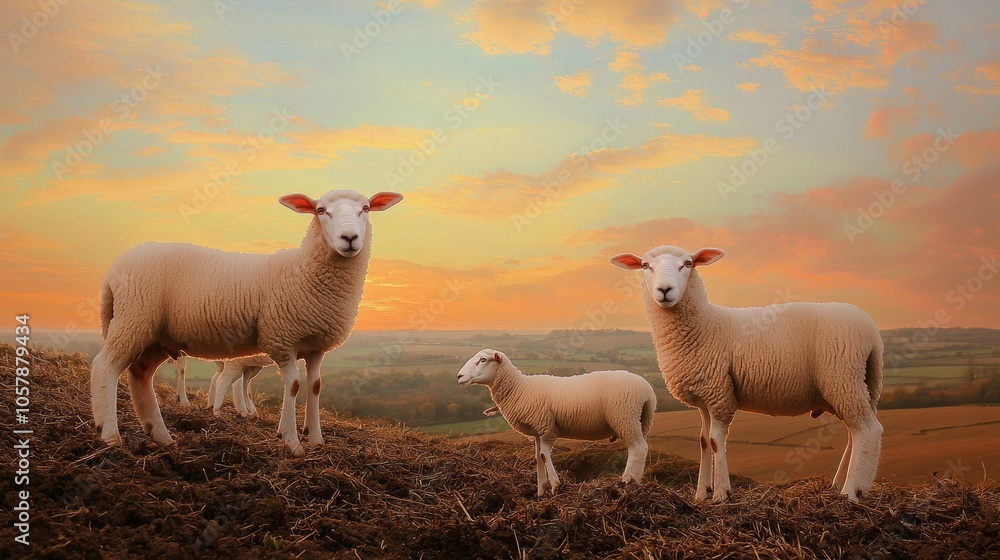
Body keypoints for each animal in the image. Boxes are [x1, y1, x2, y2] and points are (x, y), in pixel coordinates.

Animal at [90, 189, 403, 457]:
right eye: (321, 210)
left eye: (366, 209)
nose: (349, 237)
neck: (302, 270)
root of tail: (112, 271)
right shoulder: (282, 337)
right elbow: (293, 386)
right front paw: (291, 441)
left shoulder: (315, 346)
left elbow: (315, 386)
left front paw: (315, 439)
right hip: (134, 318)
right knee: (105, 367)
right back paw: (110, 436)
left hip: (156, 335)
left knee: (140, 374)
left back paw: (160, 435)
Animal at [457, 349, 656, 497]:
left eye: (483, 360)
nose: (459, 377)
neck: (519, 388)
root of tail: (648, 391)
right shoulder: (537, 432)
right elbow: (537, 457)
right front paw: (540, 491)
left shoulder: (546, 427)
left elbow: (545, 456)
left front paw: (554, 485)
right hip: (642, 421)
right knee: (643, 447)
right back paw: (637, 481)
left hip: (624, 417)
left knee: (637, 448)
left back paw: (626, 481)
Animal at [610, 245, 883, 502]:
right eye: (645, 266)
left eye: (687, 264)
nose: (664, 290)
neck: (707, 324)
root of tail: (872, 331)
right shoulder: (704, 397)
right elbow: (702, 441)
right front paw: (701, 493)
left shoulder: (719, 393)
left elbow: (715, 441)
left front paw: (721, 493)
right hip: (861, 384)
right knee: (856, 432)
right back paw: (843, 485)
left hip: (842, 377)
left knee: (868, 431)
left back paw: (851, 491)